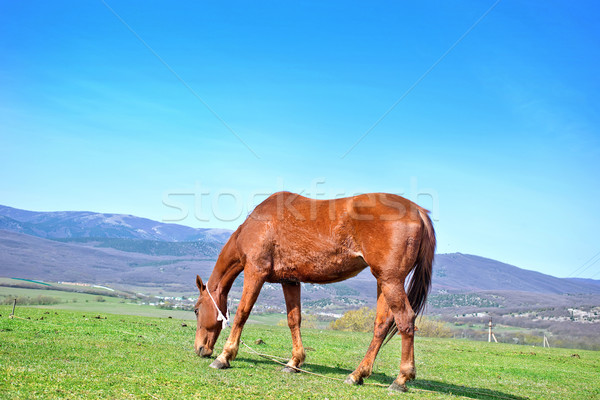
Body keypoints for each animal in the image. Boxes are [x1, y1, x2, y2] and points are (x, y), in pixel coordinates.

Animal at [195, 191, 434, 390]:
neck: (257, 226)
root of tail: (418, 211)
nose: (199, 349)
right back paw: (357, 374)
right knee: (382, 325)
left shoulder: (255, 272)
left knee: (405, 320)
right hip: (383, 281)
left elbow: (242, 314)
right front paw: (294, 362)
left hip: (391, 281)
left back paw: (401, 379)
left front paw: (225, 356)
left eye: (196, 310)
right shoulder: (290, 281)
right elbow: (294, 320)